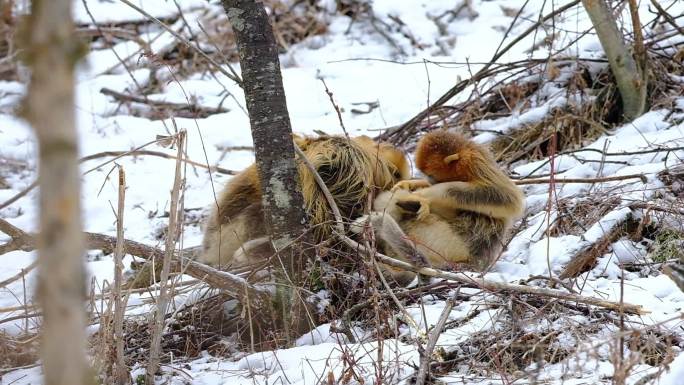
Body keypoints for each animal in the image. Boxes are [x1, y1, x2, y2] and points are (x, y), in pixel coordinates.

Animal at [358, 130, 524, 272]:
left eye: (431, 174)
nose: (430, 181)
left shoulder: (475, 163)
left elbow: (507, 199)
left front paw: (423, 195)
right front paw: (413, 184)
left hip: (445, 243)